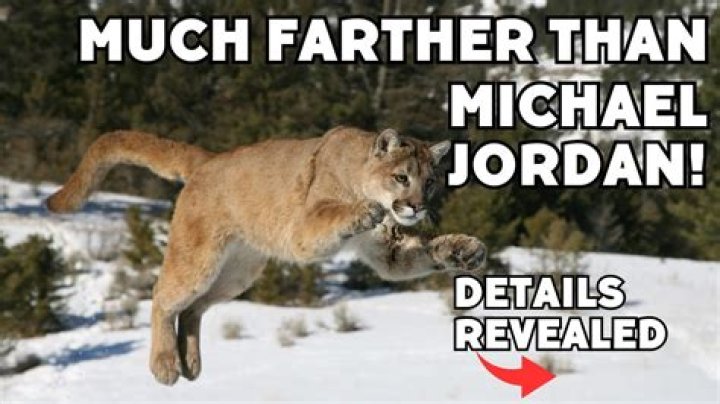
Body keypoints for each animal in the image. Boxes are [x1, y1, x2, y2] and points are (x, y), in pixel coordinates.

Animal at [46, 126, 486, 385]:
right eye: (401, 177)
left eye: (430, 182)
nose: (416, 206)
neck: (362, 175)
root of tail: (210, 159)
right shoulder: (303, 232)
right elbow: (336, 215)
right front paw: (364, 211)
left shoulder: (388, 252)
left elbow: (421, 252)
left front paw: (465, 249)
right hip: (199, 259)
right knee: (163, 297)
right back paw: (166, 364)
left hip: (239, 270)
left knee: (194, 308)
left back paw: (191, 363)